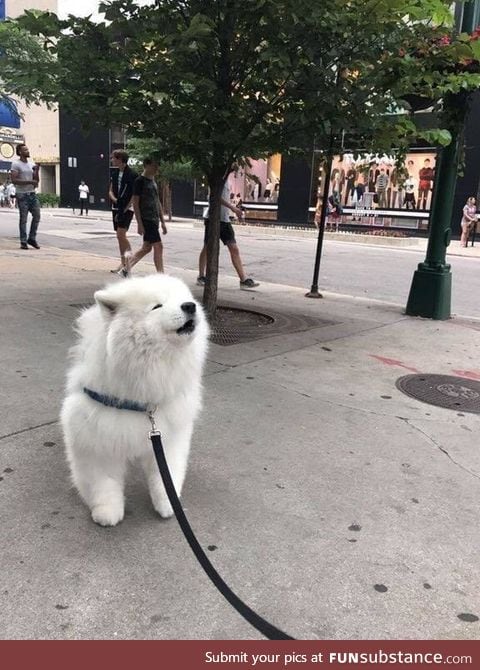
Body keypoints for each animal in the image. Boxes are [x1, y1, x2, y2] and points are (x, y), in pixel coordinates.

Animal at [60, 276, 208, 528]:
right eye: (157, 306)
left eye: (182, 298)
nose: (190, 306)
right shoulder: (98, 437)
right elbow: (104, 482)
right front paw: (107, 511)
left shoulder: (168, 436)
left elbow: (165, 476)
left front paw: (168, 504)